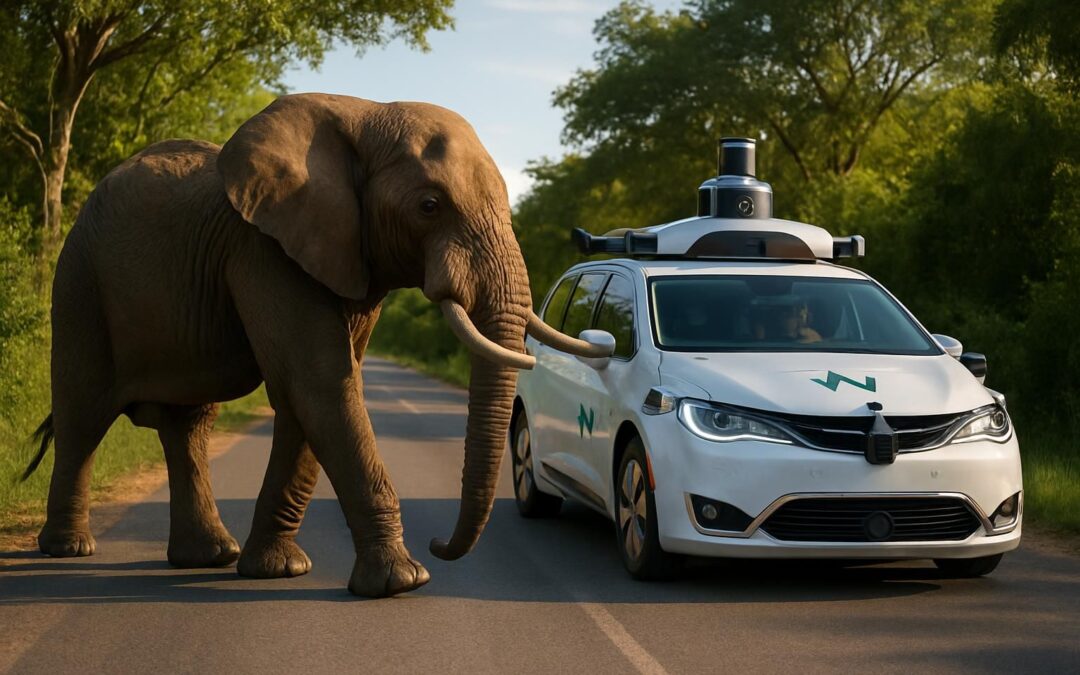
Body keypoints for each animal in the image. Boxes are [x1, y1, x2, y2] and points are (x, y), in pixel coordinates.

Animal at [22, 93, 607, 597]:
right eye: (429, 205)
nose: (440, 543)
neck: (366, 113)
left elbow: (309, 395)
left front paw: (277, 570)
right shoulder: (263, 248)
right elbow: (320, 382)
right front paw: (402, 583)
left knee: (188, 425)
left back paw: (208, 557)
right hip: (80, 281)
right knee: (83, 413)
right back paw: (70, 550)